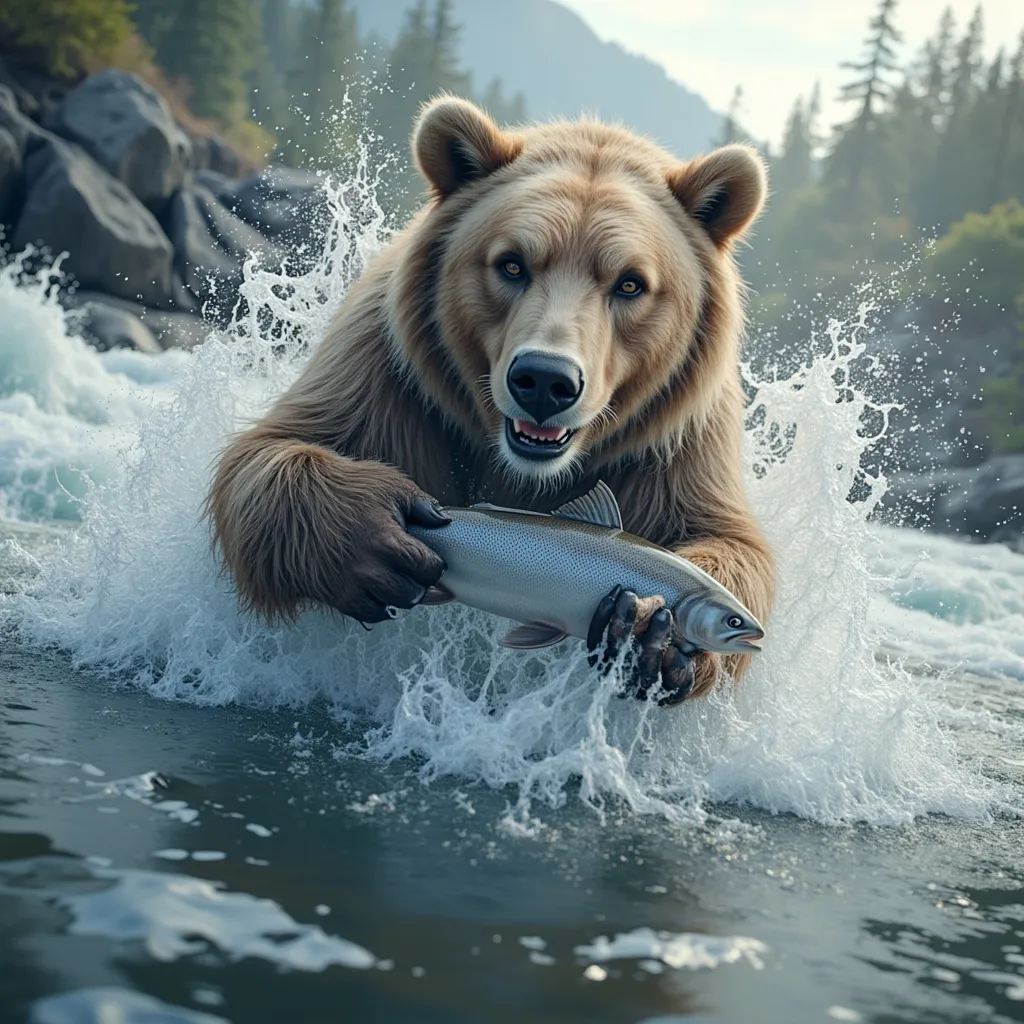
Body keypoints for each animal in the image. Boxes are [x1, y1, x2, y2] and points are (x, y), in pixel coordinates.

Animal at [205, 97, 770, 704]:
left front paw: (657, 645)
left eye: (630, 283)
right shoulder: (387, 369)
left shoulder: (678, 436)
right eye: (512, 263)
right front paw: (373, 534)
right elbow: (273, 453)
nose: (545, 379)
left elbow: (724, 536)